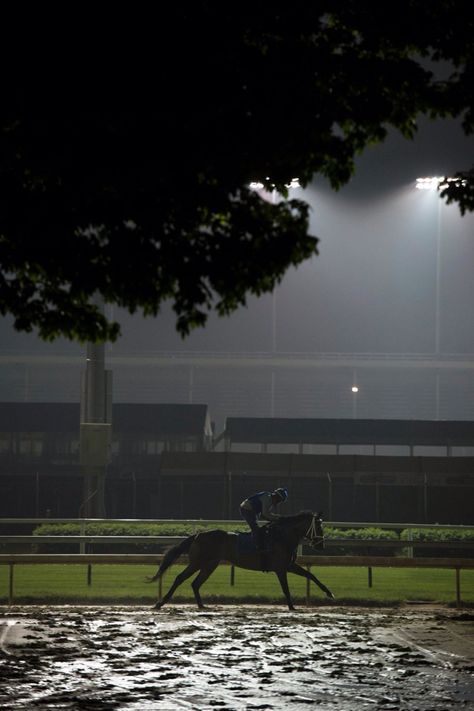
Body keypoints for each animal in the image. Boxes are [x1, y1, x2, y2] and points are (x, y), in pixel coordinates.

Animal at [146, 512, 336, 612]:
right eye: (318, 527)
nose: (321, 545)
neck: (282, 537)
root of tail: (198, 535)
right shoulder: (280, 568)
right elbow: (286, 588)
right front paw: (291, 607)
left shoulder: (289, 566)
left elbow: (311, 575)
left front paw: (329, 593)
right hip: (198, 562)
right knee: (180, 578)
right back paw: (160, 603)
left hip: (210, 564)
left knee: (195, 583)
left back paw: (202, 605)